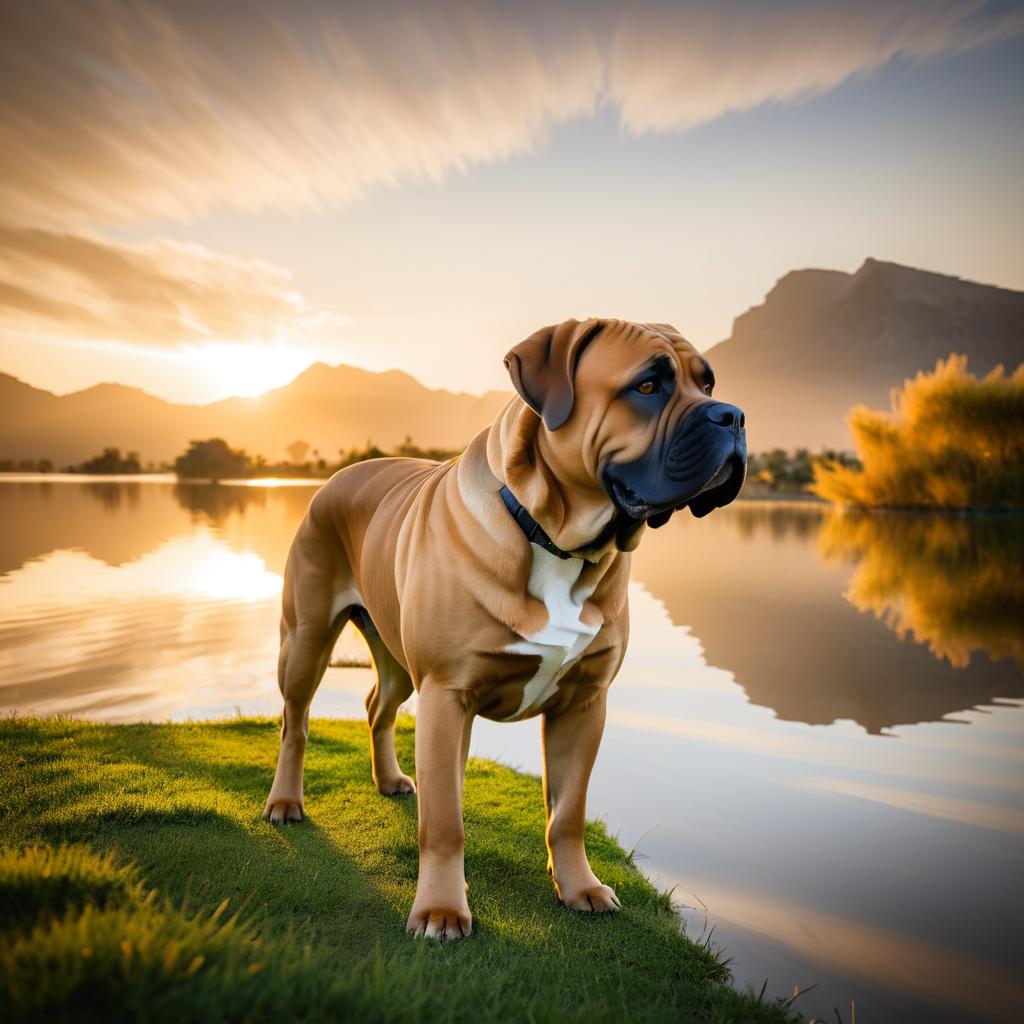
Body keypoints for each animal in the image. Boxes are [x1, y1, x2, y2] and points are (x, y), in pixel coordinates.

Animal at [262, 315, 745, 937]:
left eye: (707, 384)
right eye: (646, 386)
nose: (732, 416)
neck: (556, 538)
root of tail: (339, 475)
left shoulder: (583, 704)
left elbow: (568, 812)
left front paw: (579, 888)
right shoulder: (447, 695)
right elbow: (445, 821)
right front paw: (440, 911)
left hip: (396, 659)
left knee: (377, 704)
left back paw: (389, 780)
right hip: (307, 640)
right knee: (294, 722)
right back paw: (284, 803)